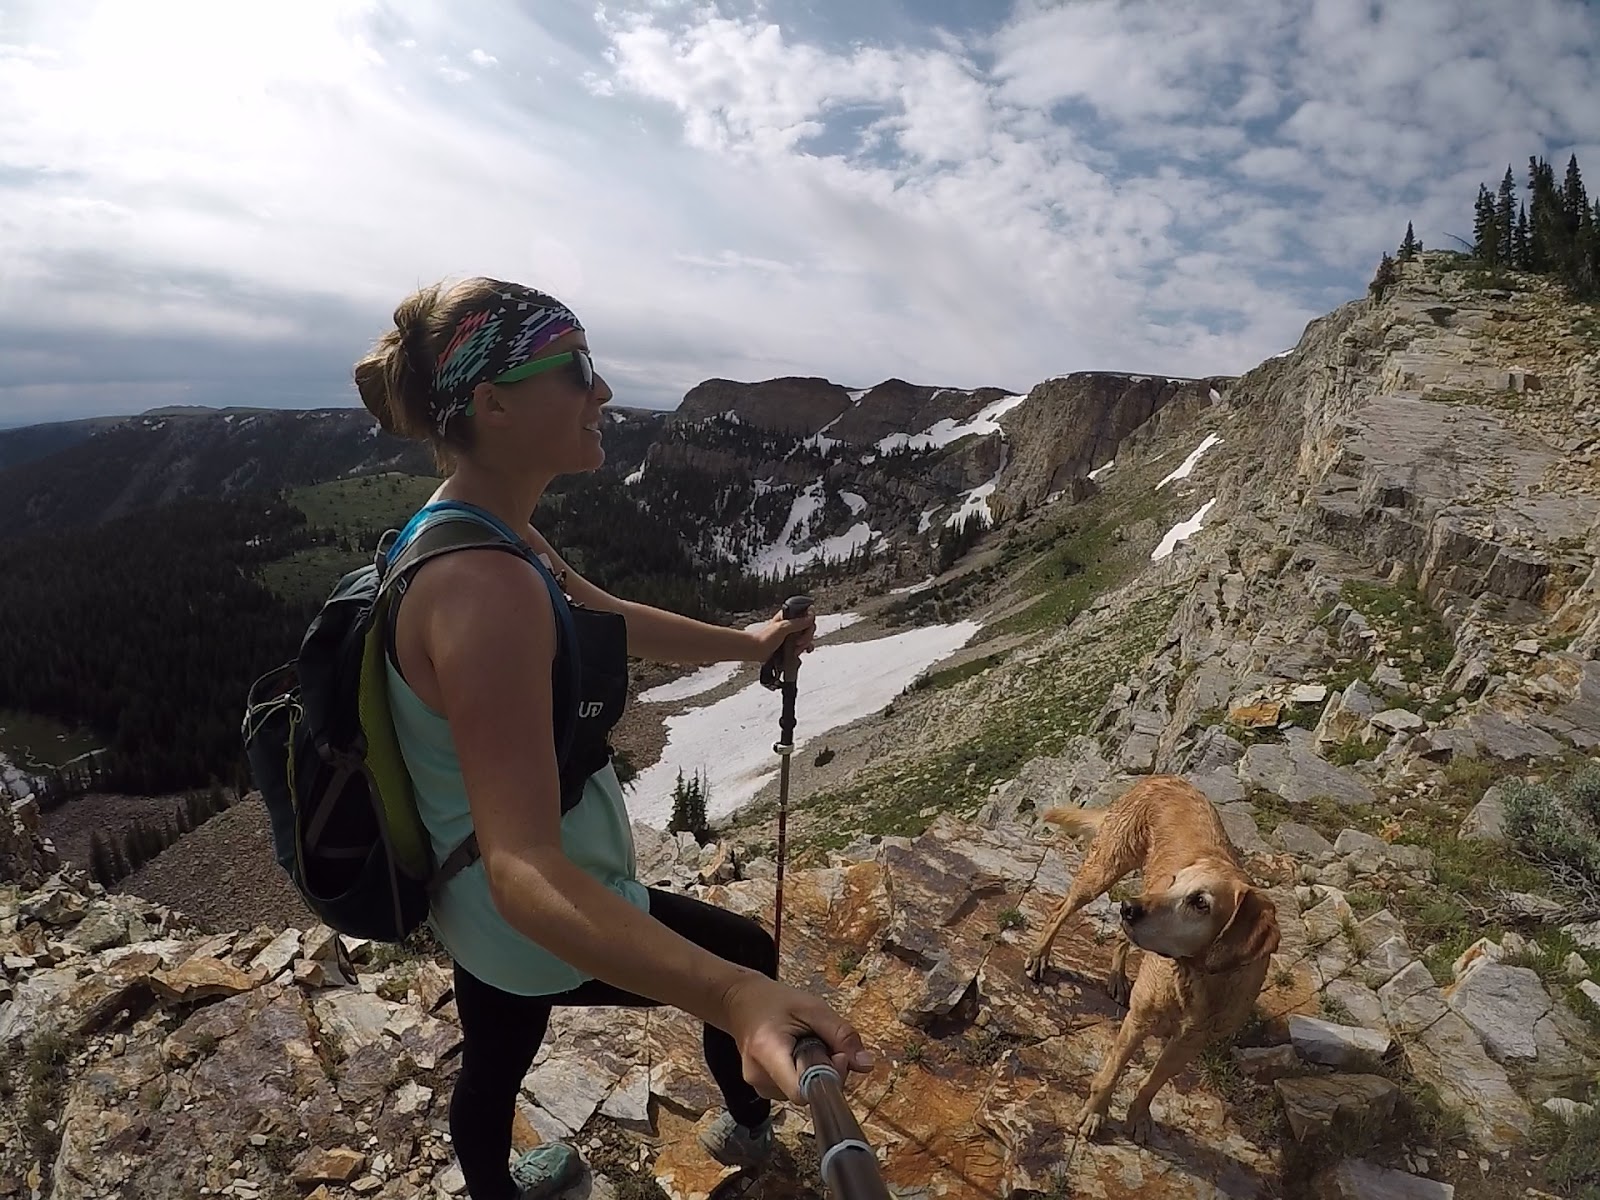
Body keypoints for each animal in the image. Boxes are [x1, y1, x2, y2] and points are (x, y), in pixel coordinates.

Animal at [1030, 780, 1280, 1145]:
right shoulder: (1139, 1020)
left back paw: (1118, 977)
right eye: (1174, 881)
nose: (1129, 908)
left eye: (1200, 902)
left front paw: (1138, 1117)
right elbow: (1111, 1073)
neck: (1198, 979)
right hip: (1104, 868)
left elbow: (1152, 1083)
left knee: (1121, 937)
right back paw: (1040, 955)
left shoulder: (1189, 1043)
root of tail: (1163, 777)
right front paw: (1094, 1114)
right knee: (1060, 910)